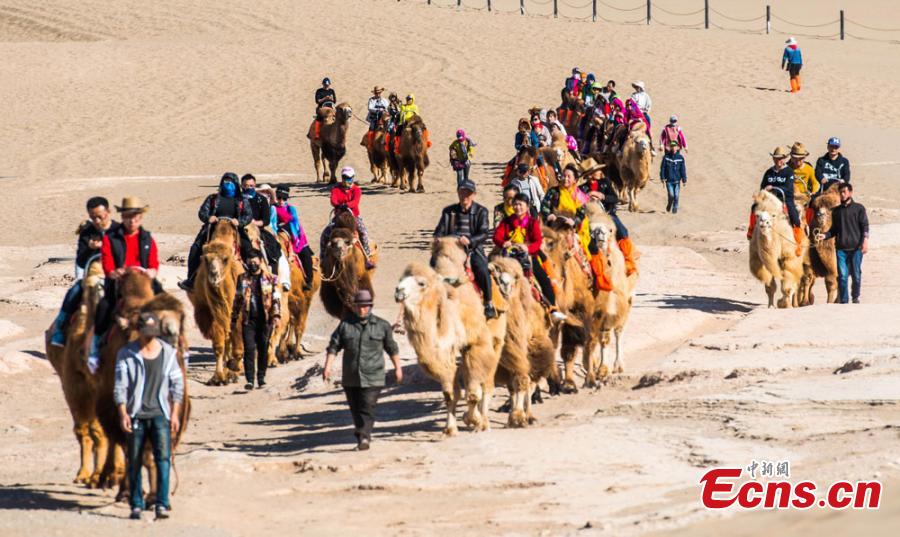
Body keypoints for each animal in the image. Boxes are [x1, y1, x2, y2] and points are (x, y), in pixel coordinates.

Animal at [186, 219, 244, 386]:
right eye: (205, 259)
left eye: (225, 259)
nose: (214, 275)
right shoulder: (210, 312)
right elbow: (219, 344)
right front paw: (218, 377)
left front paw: (235, 370)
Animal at [488, 255, 560, 428]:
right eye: (496, 277)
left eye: (514, 279)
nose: (505, 284)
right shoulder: (507, 357)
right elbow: (511, 385)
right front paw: (513, 414)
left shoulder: (530, 348)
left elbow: (524, 380)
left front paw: (520, 416)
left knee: (532, 380)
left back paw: (530, 413)